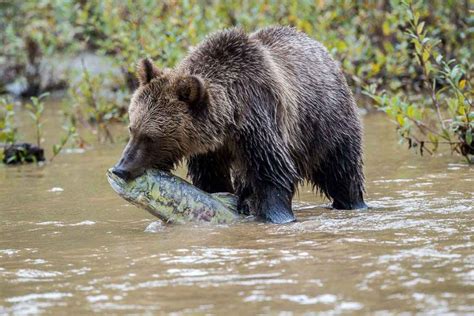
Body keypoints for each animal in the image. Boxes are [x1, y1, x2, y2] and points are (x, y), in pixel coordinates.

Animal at [112, 26, 366, 225]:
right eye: (132, 129)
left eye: (151, 137)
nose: (120, 168)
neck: (228, 121)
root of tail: (322, 49)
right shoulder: (209, 148)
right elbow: (211, 178)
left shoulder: (258, 120)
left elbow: (273, 173)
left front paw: (277, 215)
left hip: (325, 124)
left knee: (342, 171)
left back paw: (353, 202)